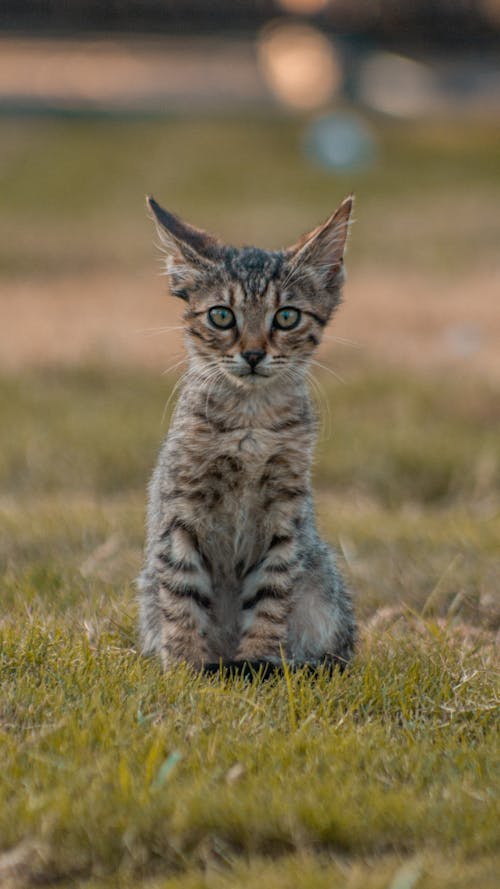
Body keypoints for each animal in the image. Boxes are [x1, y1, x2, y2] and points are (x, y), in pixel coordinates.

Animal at [137, 193, 356, 664]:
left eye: (286, 317)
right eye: (222, 316)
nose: (254, 354)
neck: (250, 422)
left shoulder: (285, 510)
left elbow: (272, 593)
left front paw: (257, 662)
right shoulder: (181, 507)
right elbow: (181, 591)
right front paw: (185, 665)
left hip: (324, 583)